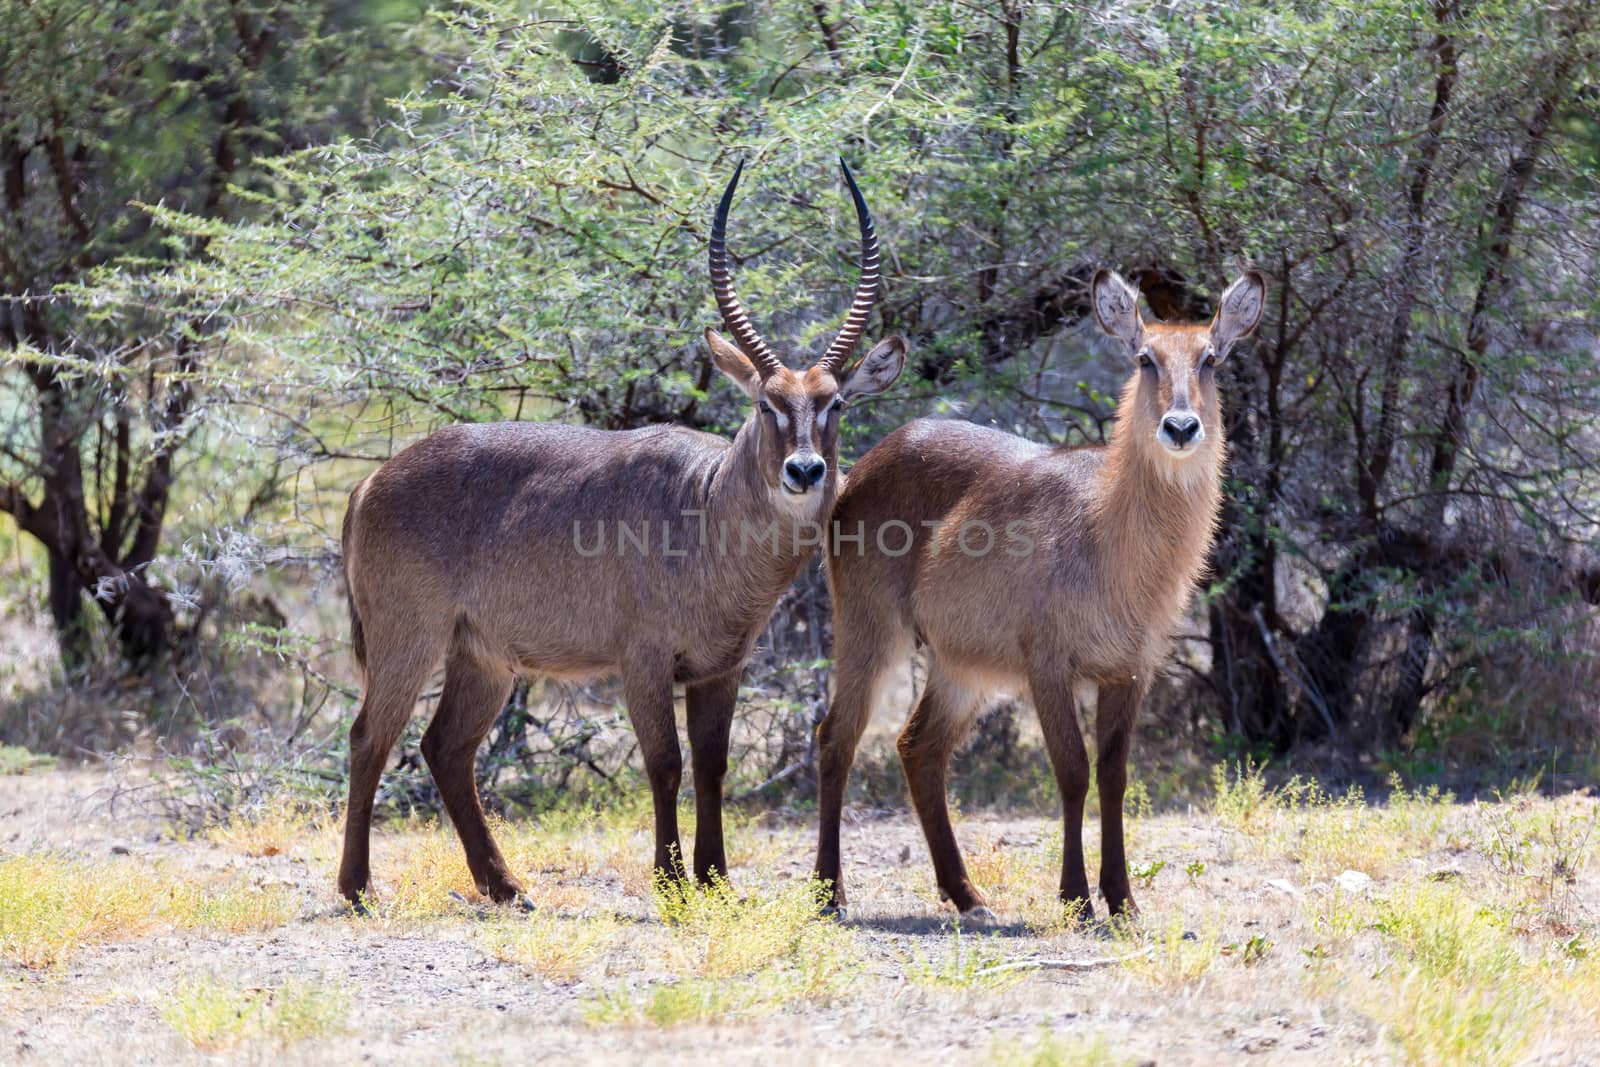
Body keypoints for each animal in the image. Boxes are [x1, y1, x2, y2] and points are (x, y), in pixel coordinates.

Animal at [337, 158, 908, 908]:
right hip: (408, 639)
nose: (805, 470)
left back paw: (505, 885)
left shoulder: (721, 666)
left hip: (482, 656)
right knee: (369, 738)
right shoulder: (643, 660)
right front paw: (672, 883)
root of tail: (371, 482)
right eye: (766, 403)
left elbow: (714, 764)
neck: (706, 508)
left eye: (834, 402)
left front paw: (716, 880)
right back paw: (358, 889)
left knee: (445, 748)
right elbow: (665, 763)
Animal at [812, 265, 1260, 921]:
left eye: (1210, 358)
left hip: (960, 664)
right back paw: (829, 895)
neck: (1110, 533)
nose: (1180, 427)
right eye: (1146, 358)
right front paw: (1076, 898)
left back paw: (967, 896)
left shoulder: (1131, 670)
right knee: (836, 738)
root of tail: (865, 465)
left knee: (918, 748)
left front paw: (1122, 900)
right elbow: (1072, 770)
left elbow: (1115, 775)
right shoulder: (1048, 663)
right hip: (870, 633)